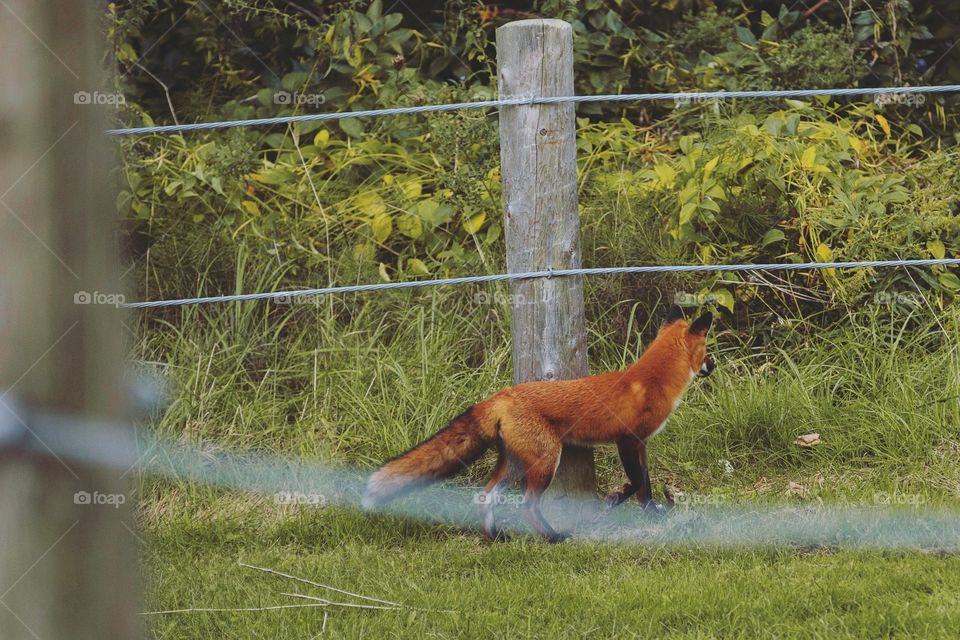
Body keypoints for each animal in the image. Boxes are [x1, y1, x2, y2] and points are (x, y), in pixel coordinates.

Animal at [360, 304, 712, 540]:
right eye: (708, 349)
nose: (714, 365)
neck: (654, 380)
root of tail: (500, 396)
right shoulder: (626, 440)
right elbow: (637, 483)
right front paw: (615, 499)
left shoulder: (640, 444)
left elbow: (646, 486)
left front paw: (652, 514)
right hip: (546, 460)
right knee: (526, 506)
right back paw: (553, 537)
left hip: (516, 462)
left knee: (486, 496)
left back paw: (494, 537)